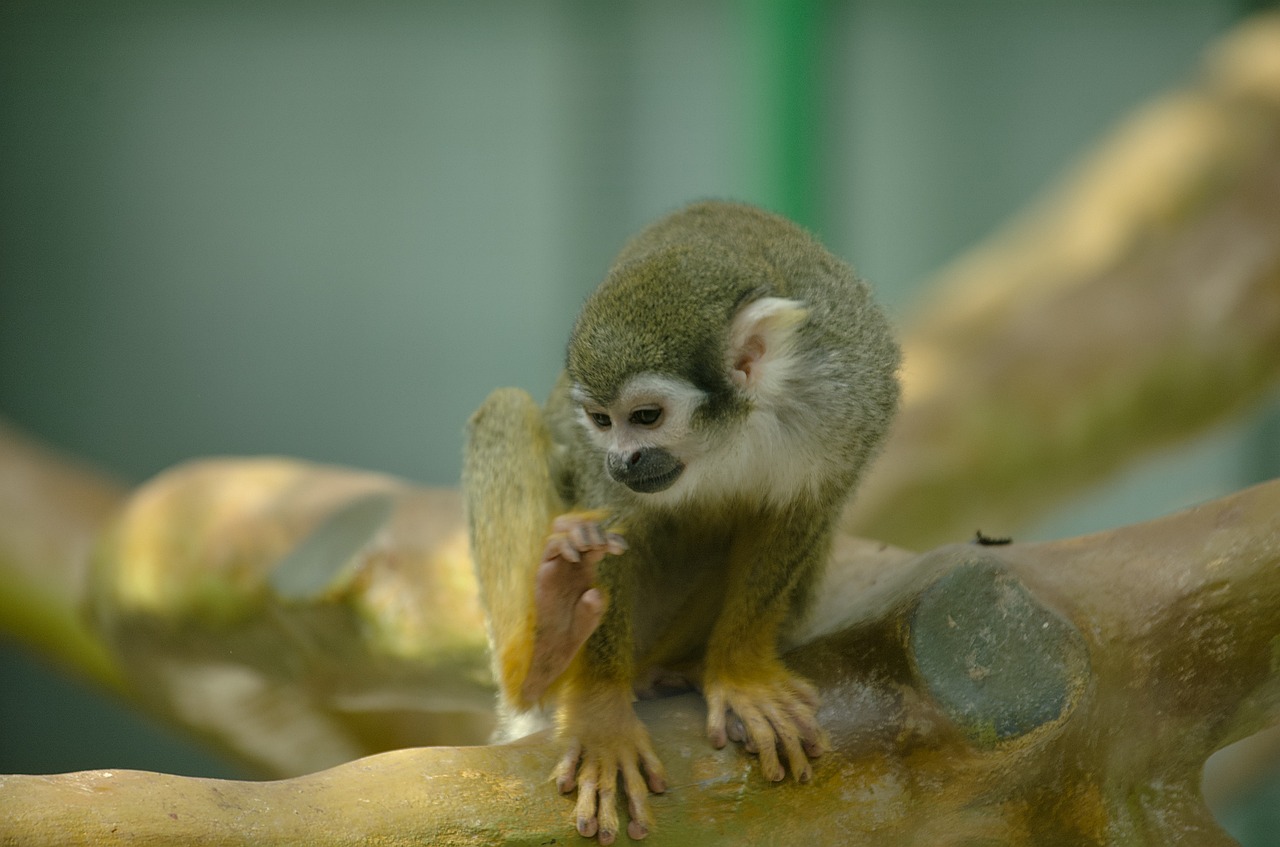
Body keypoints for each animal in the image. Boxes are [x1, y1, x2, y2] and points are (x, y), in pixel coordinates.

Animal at [463, 202, 901, 844]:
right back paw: (546, 650)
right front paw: (602, 720)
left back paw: (671, 667)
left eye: (646, 417)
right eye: (601, 420)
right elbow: (607, 531)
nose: (621, 460)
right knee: (506, 410)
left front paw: (741, 673)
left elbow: (804, 509)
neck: (731, 431)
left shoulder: (850, 392)